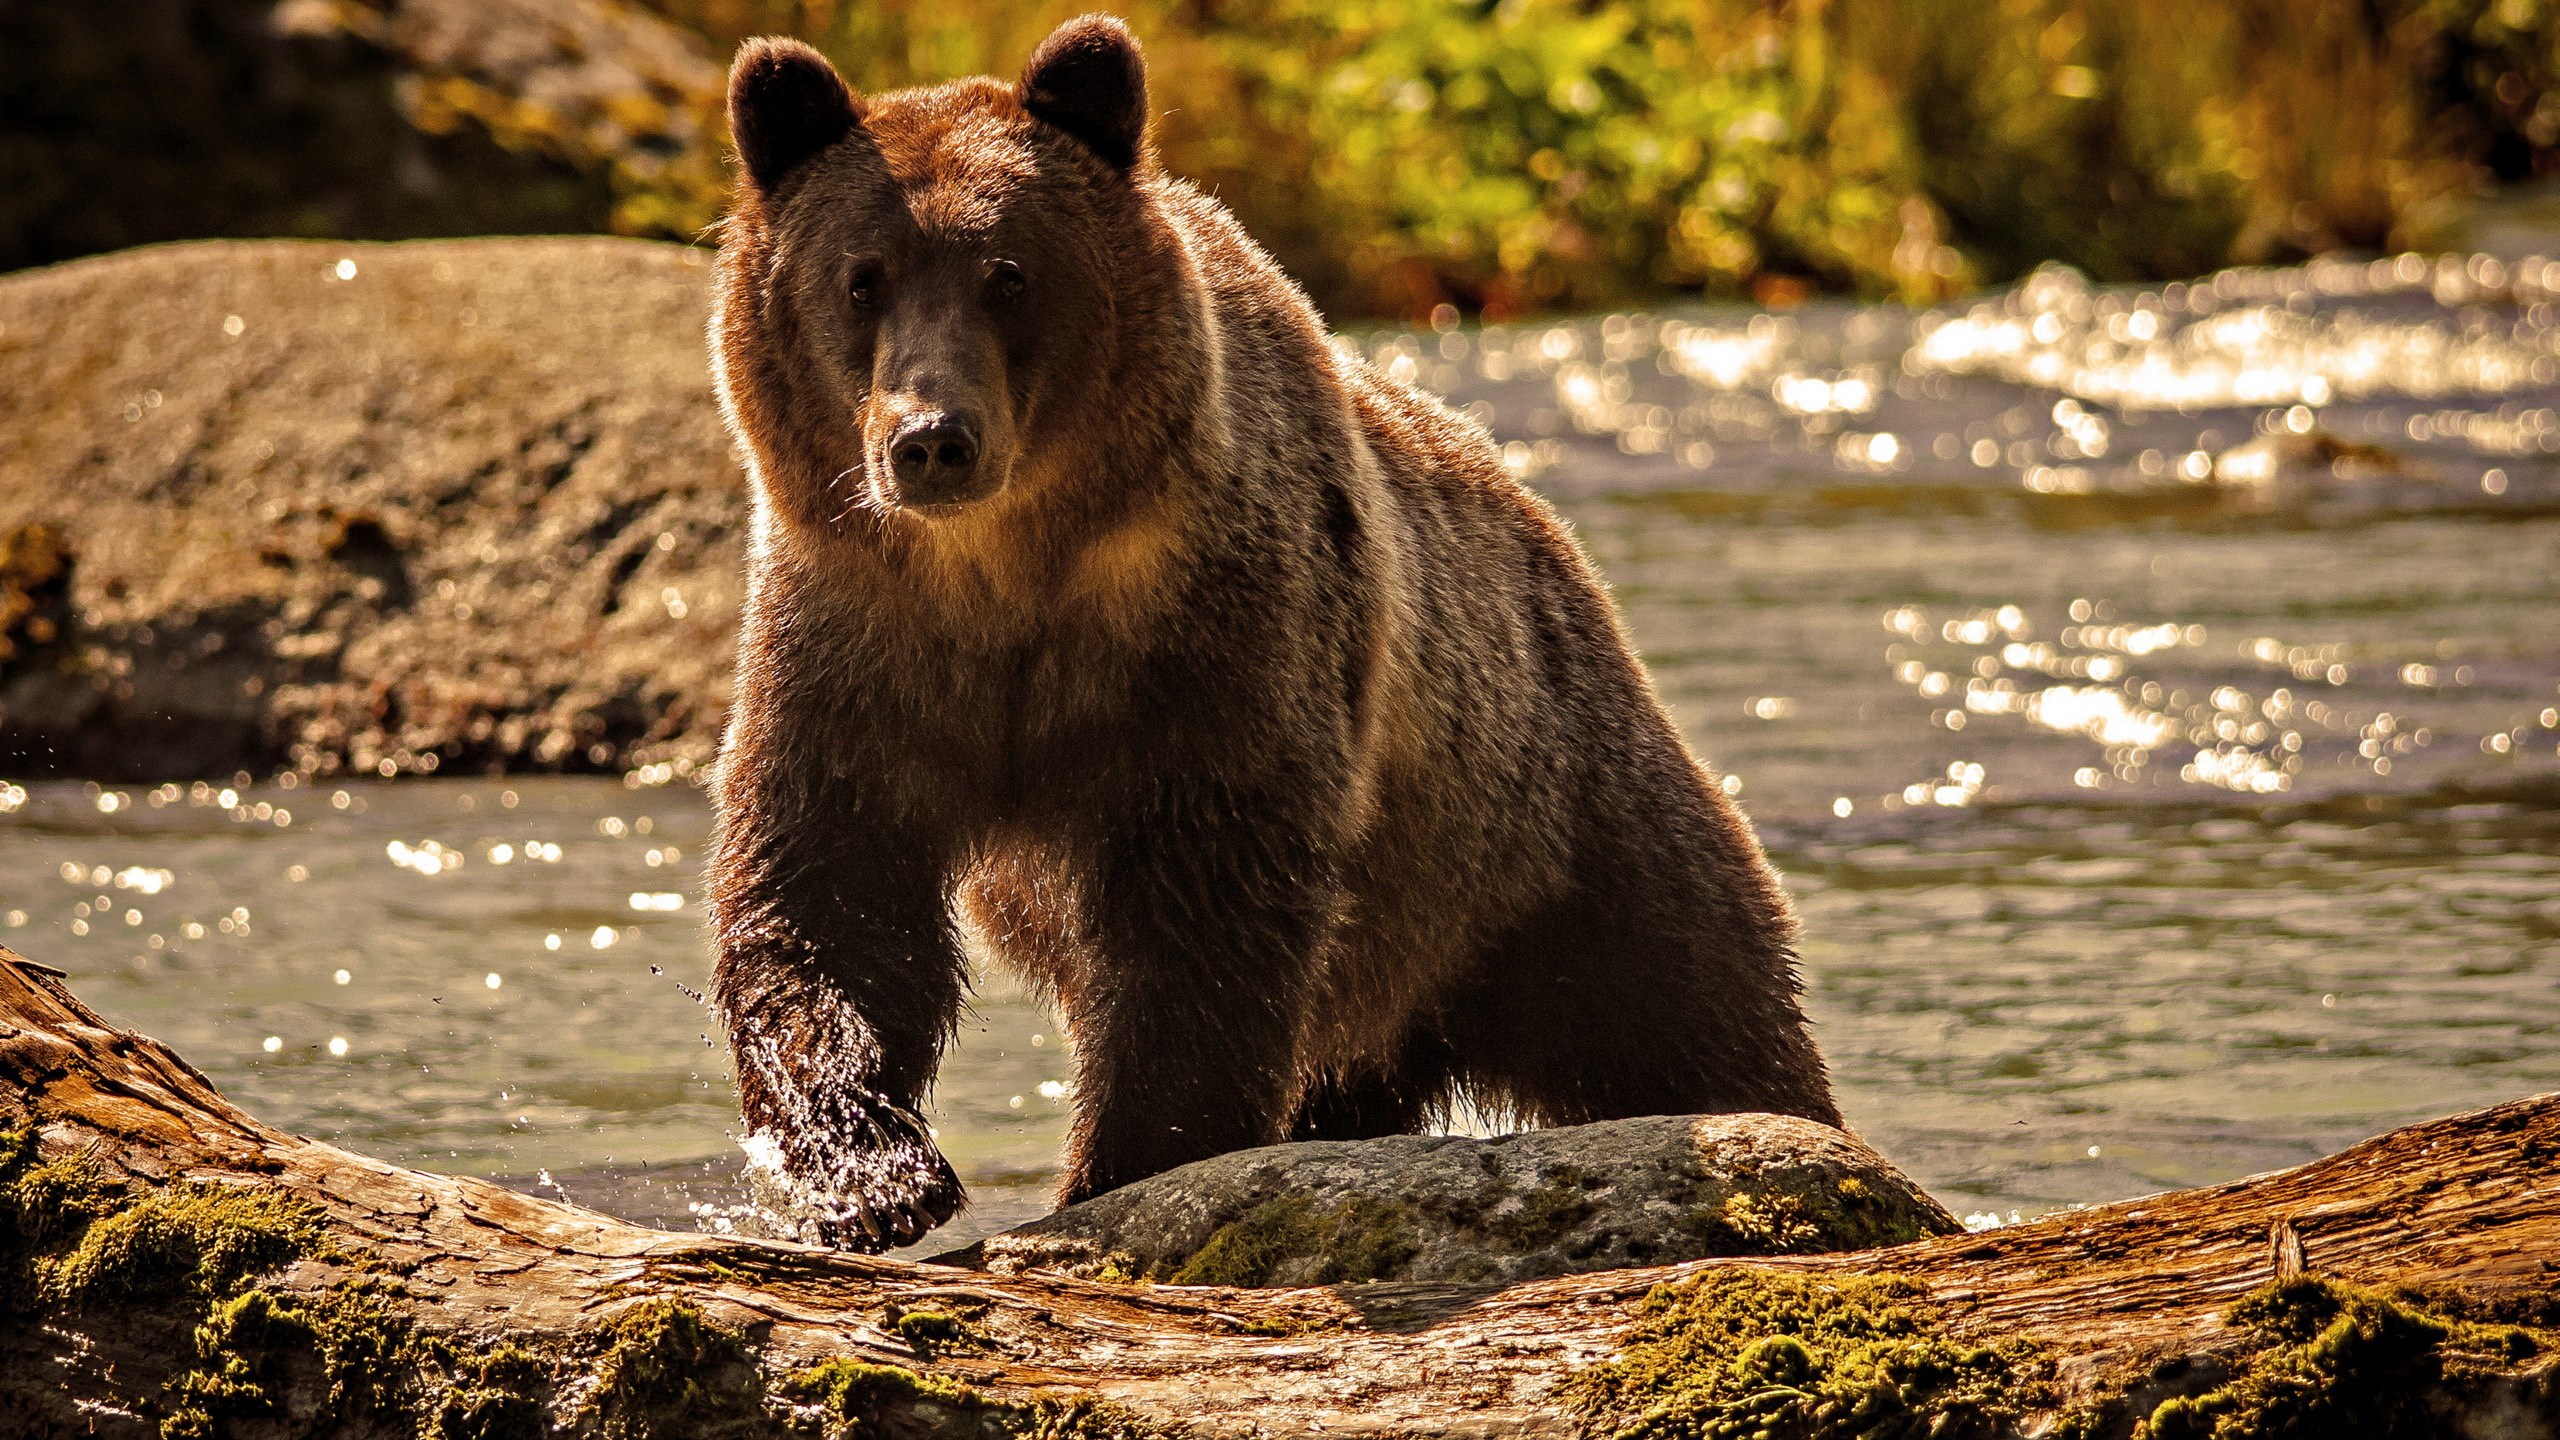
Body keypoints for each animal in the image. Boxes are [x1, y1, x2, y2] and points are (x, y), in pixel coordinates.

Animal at [704, 14, 1842, 1252]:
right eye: (860, 279)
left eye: (1007, 273)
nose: (931, 439)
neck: (1006, 575)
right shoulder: (856, 637)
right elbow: (829, 889)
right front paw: (868, 1174)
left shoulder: (1217, 639)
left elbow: (1201, 914)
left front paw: (1119, 1167)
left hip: (1545, 827)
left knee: (1690, 1007)